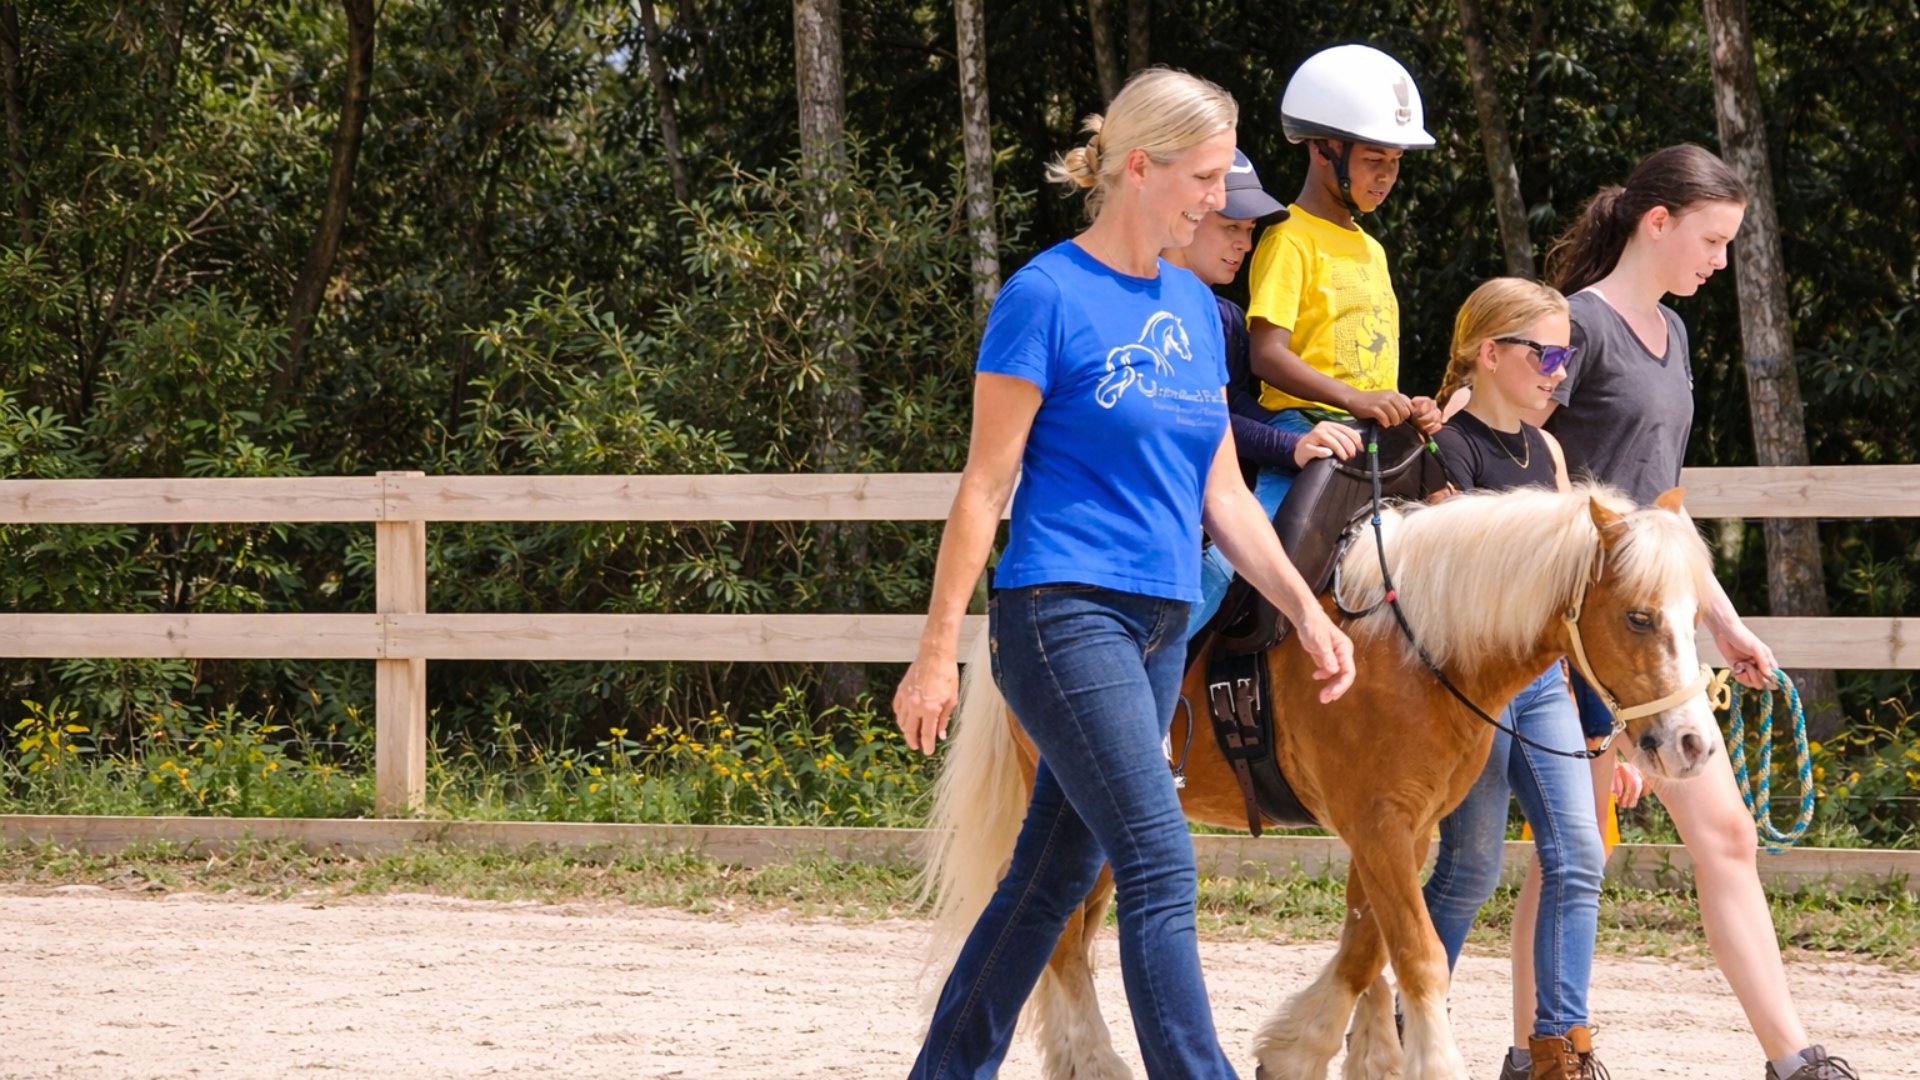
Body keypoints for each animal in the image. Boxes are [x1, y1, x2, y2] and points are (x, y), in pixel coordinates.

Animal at [919, 486, 1722, 1080]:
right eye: (1639, 616)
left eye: (1693, 614)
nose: (1693, 744)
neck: (1410, 645)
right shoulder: (1377, 824)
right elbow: (1419, 954)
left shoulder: (1400, 829)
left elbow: (1368, 949)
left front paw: (1302, 1051)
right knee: (1060, 938)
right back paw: (1096, 1062)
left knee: (1070, 937)